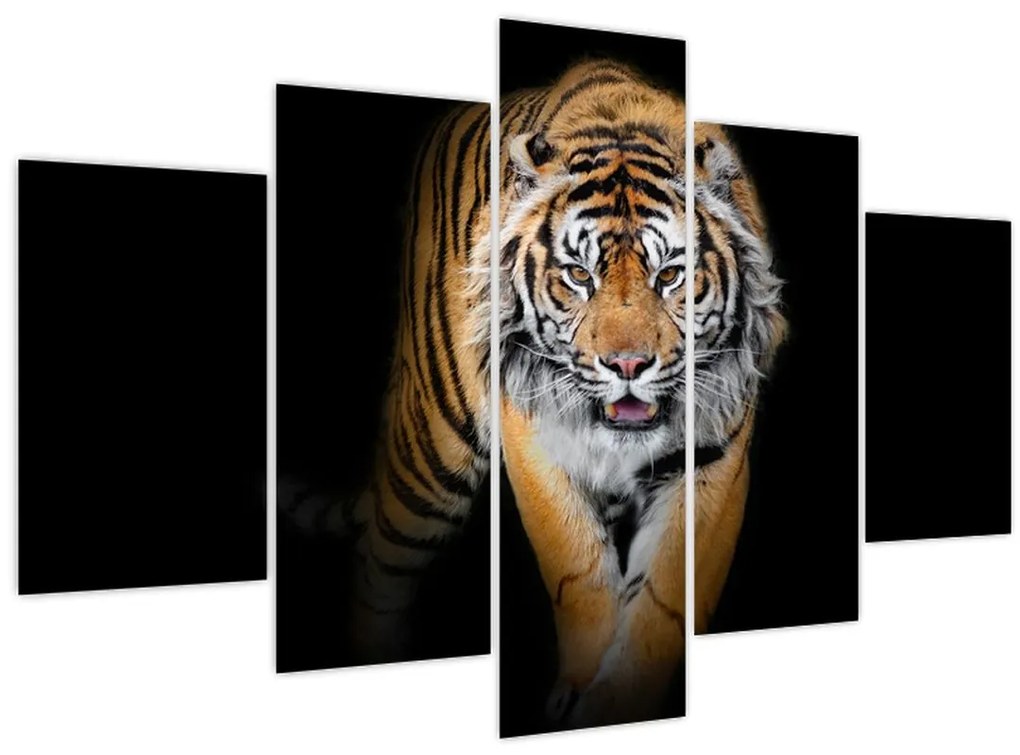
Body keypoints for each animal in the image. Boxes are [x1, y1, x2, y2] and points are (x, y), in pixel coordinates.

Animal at [498, 61, 785, 727]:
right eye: (579, 275)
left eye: (671, 275)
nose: (627, 363)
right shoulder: (530, 431)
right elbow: (576, 565)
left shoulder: (715, 454)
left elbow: (665, 595)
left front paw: (615, 702)